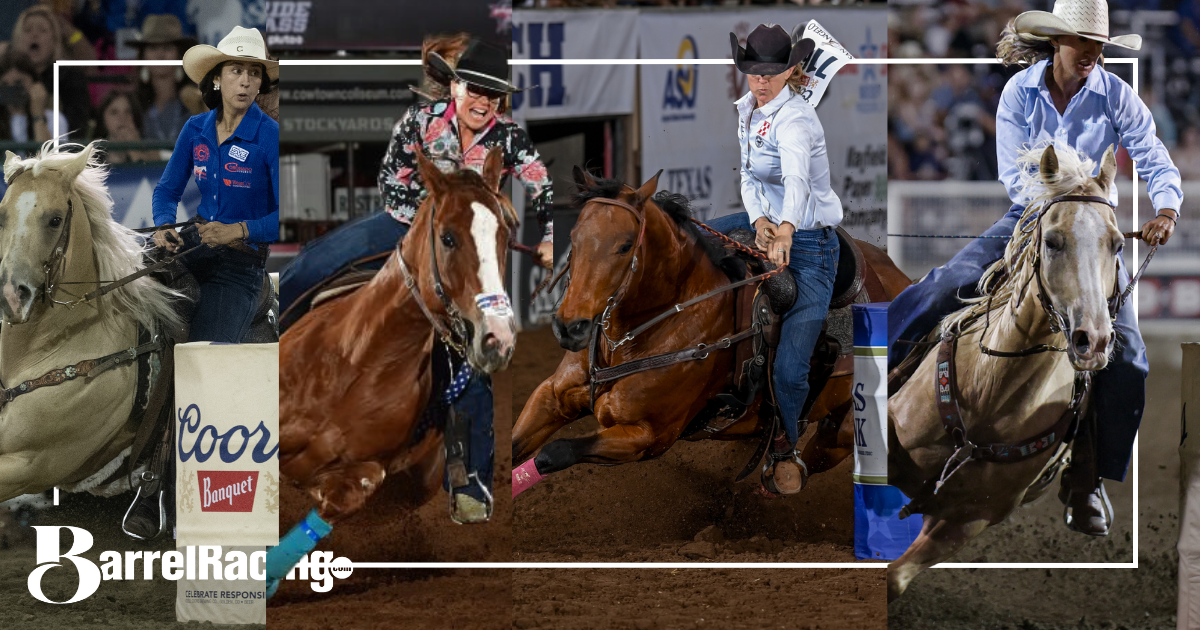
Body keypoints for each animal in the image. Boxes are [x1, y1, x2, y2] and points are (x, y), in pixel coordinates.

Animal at [511, 168, 910, 496]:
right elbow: (515, 444)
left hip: (841, 434)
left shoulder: (647, 435)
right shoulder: (552, 395)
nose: (570, 326)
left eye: (625, 245)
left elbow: (555, 452)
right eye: (574, 239)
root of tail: (901, 280)